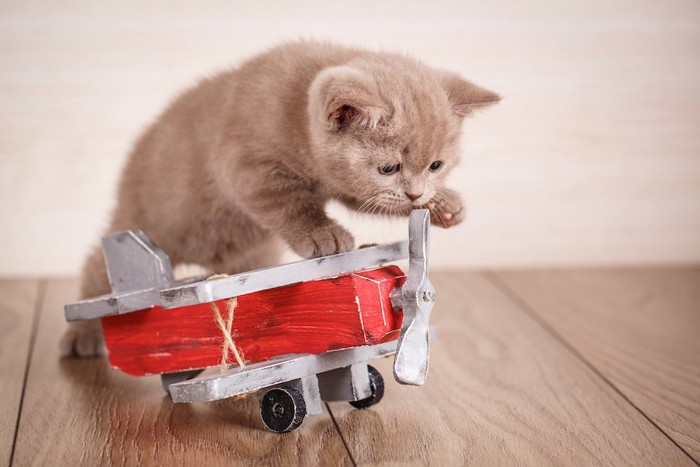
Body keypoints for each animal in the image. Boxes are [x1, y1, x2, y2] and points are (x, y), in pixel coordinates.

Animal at [58, 41, 498, 358]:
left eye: (436, 164)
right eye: (389, 168)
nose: (417, 191)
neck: (296, 110)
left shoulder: (340, 184)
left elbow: (367, 199)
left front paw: (445, 203)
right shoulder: (248, 168)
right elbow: (291, 203)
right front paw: (322, 234)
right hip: (148, 222)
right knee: (98, 269)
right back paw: (83, 335)